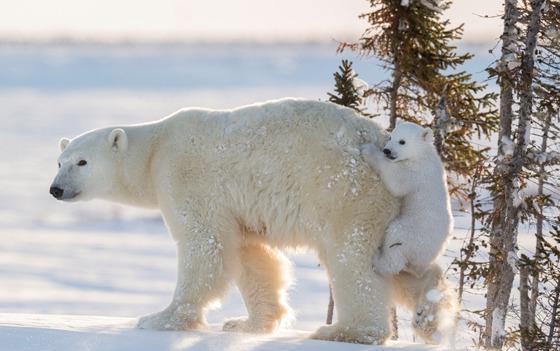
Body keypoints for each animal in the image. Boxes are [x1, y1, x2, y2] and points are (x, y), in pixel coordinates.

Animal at [51, 97, 446, 346]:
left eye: (82, 162)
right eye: (60, 161)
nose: (56, 189)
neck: (155, 149)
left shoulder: (185, 176)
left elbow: (204, 245)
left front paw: (159, 319)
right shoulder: (237, 209)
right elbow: (251, 254)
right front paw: (248, 323)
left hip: (347, 193)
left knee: (354, 261)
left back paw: (344, 331)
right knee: (400, 261)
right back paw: (430, 309)